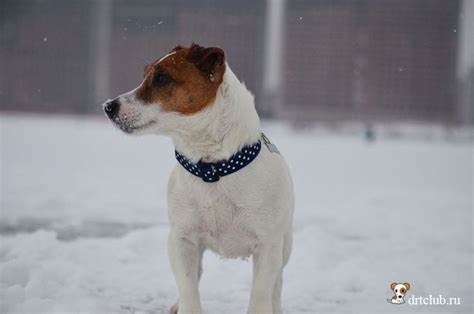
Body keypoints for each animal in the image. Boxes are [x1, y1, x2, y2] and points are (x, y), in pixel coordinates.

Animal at [104, 44, 292, 314]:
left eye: (161, 78)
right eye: (145, 75)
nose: (108, 106)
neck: (212, 169)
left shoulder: (267, 246)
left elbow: (261, 293)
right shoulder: (183, 241)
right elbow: (188, 288)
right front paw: (184, 304)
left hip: (284, 245)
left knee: (277, 282)